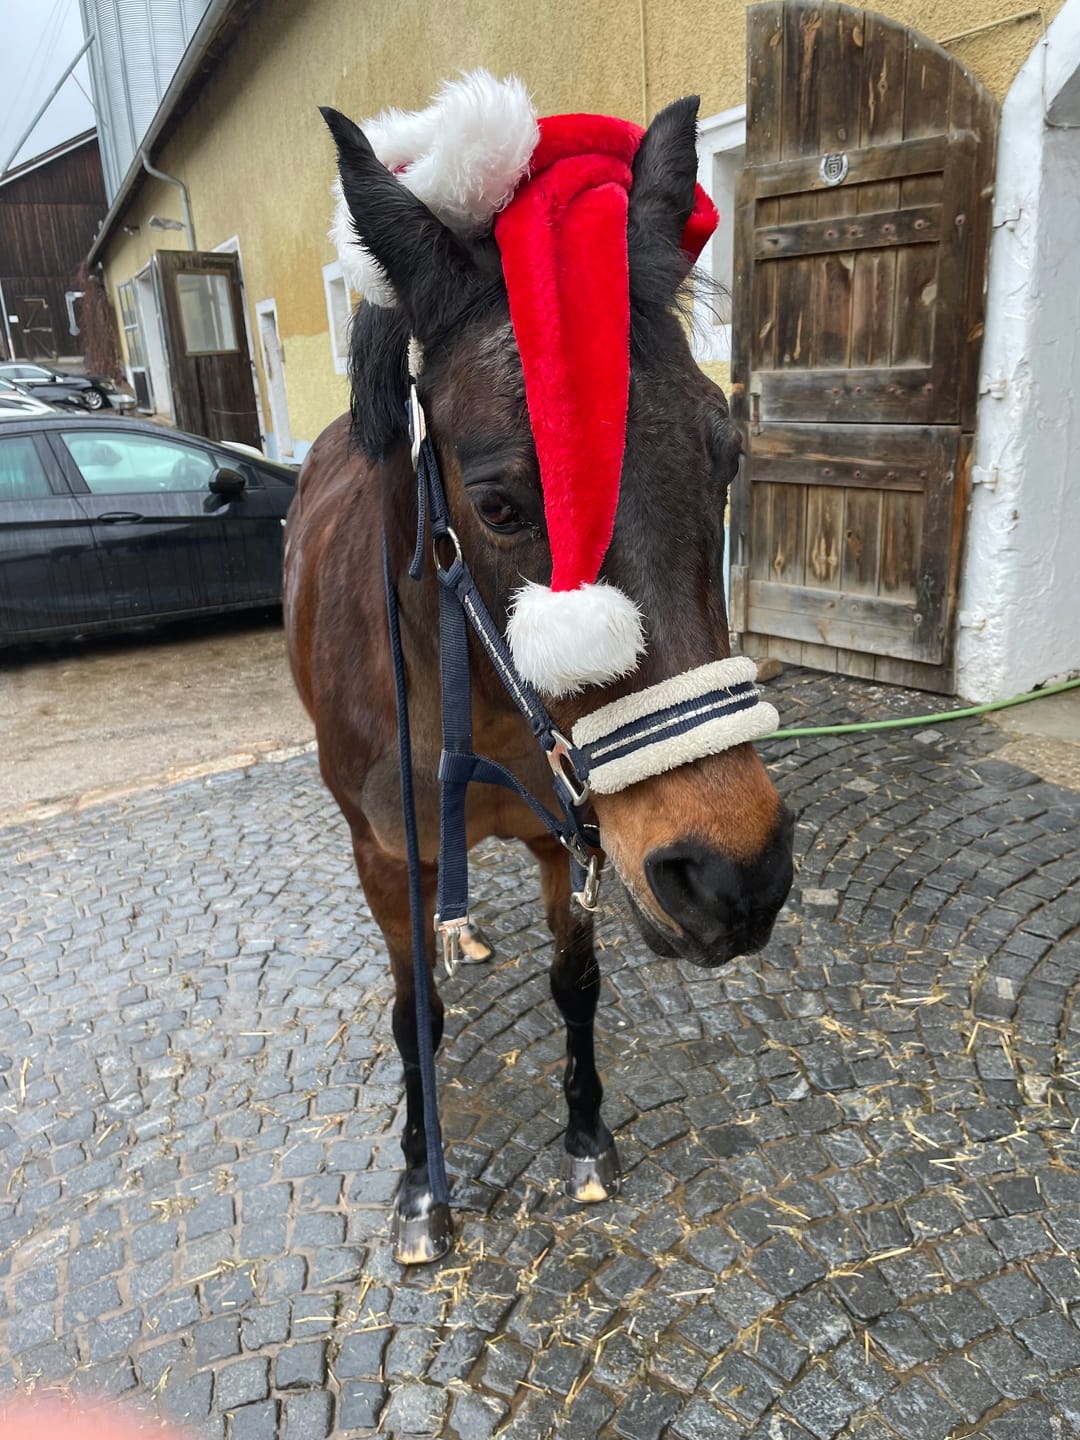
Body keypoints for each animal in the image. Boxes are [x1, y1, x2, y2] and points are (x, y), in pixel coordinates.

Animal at [285, 89, 795, 1264]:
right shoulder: (383, 855)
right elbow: (412, 1015)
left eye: (726, 458)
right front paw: (421, 1184)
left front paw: (585, 1136)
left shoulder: (577, 837)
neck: (460, 687)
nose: (736, 875)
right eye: (501, 504)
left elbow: (576, 981)